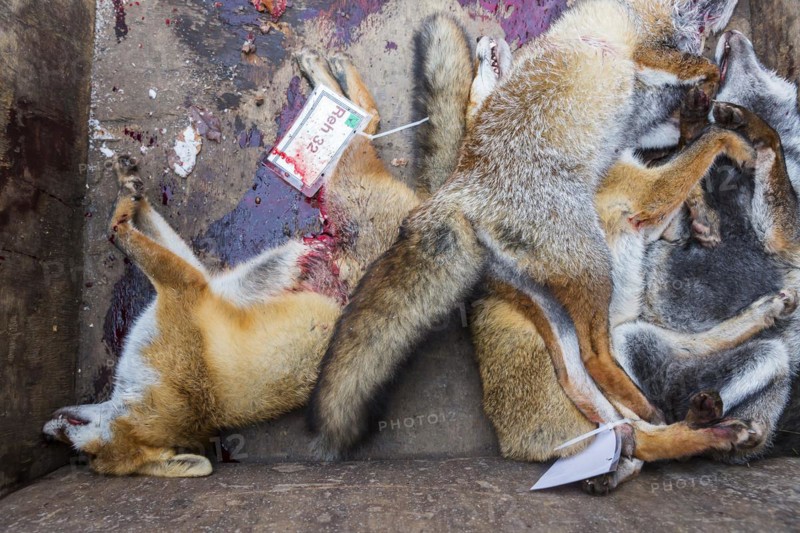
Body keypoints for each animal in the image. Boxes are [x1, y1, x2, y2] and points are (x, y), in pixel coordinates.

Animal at [42, 19, 474, 477]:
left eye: (84, 451)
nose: (47, 430)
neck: (163, 393)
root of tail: (431, 206)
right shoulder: (199, 277)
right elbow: (156, 229)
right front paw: (132, 191)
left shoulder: (185, 289)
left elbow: (119, 232)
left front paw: (125, 196)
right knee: (362, 123)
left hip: (341, 177)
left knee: (367, 118)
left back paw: (325, 68)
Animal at [309, 0, 741, 461]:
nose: (482, 38)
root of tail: (460, 187)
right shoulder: (647, 51)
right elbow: (700, 78)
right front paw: (717, 98)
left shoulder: (645, 127)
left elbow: (685, 141)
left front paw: (702, 204)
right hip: (592, 265)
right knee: (595, 356)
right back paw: (655, 410)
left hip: (553, 300)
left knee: (581, 383)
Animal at [468, 31, 799, 493]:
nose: (482, 38)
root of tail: (512, 445)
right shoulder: (643, 195)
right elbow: (708, 144)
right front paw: (734, 141)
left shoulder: (652, 217)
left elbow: (690, 170)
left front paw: (703, 209)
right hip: (594, 347)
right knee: (641, 430)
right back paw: (709, 429)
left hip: (625, 345)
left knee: (671, 389)